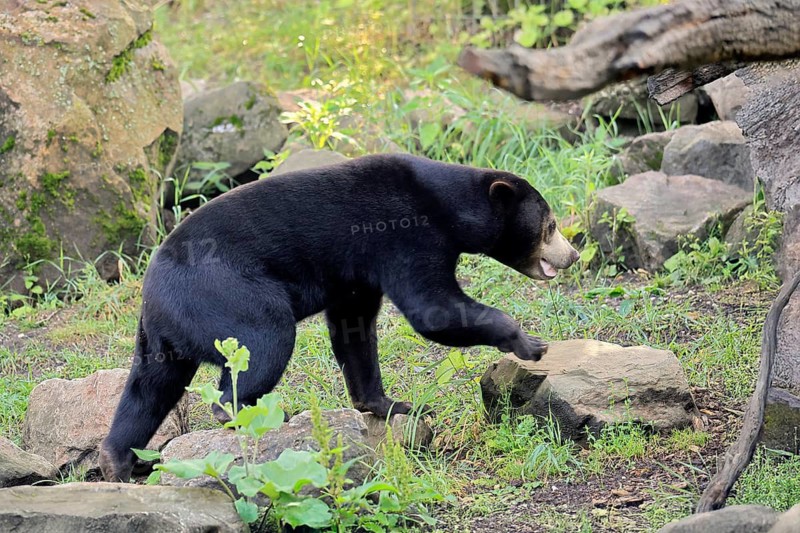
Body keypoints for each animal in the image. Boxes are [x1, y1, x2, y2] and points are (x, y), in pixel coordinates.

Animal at [99, 153, 579, 482]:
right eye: (551, 225)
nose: (573, 255)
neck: (447, 207)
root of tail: (153, 291)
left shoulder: (356, 272)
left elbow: (354, 328)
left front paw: (391, 404)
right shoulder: (405, 232)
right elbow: (432, 307)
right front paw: (529, 342)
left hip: (165, 332)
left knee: (149, 388)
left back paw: (118, 460)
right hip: (223, 294)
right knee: (264, 343)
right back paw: (249, 414)